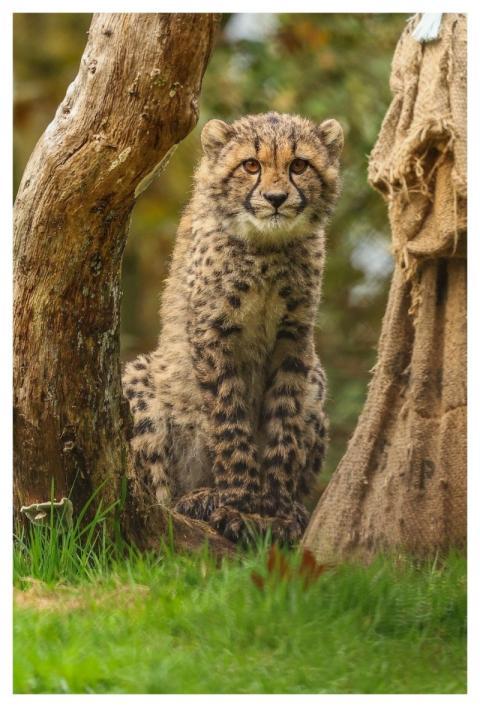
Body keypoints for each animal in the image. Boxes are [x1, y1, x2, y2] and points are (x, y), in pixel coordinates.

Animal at [122, 111, 343, 544]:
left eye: (299, 166)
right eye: (251, 165)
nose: (275, 199)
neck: (267, 249)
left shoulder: (294, 339)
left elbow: (284, 422)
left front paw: (276, 507)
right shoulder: (214, 335)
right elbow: (229, 419)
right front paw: (239, 499)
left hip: (317, 378)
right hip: (139, 378)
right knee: (158, 499)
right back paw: (198, 498)